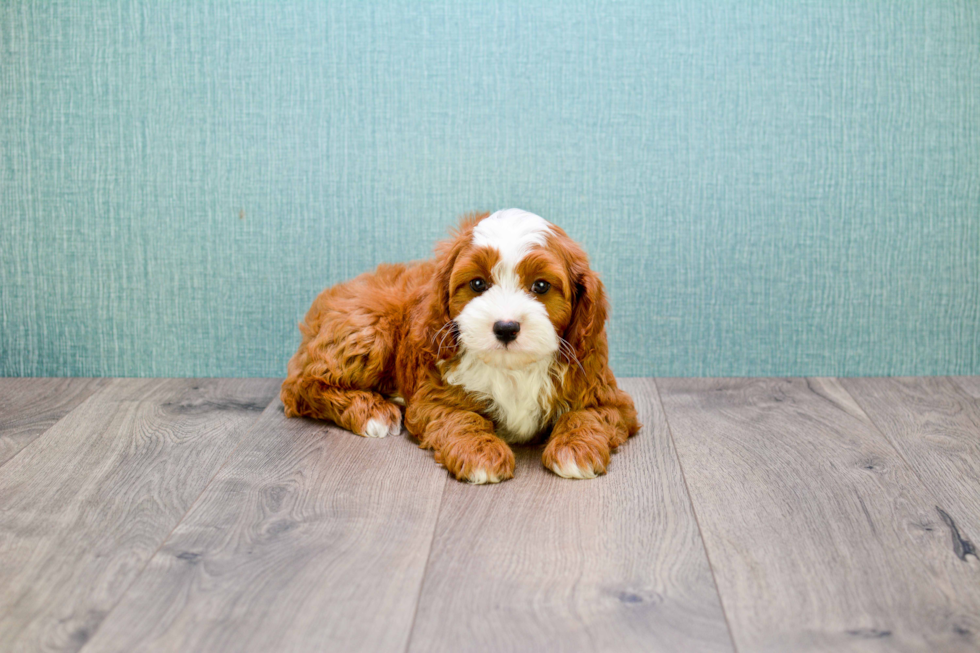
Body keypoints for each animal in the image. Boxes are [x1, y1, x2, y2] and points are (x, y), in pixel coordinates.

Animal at [280, 206, 640, 482]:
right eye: (478, 284)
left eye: (541, 286)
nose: (506, 327)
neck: (513, 368)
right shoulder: (434, 398)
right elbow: (462, 419)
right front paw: (481, 455)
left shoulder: (607, 396)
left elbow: (588, 416)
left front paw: (575, 450)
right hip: (369, 328)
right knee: (299, 387)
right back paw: (372, 412)